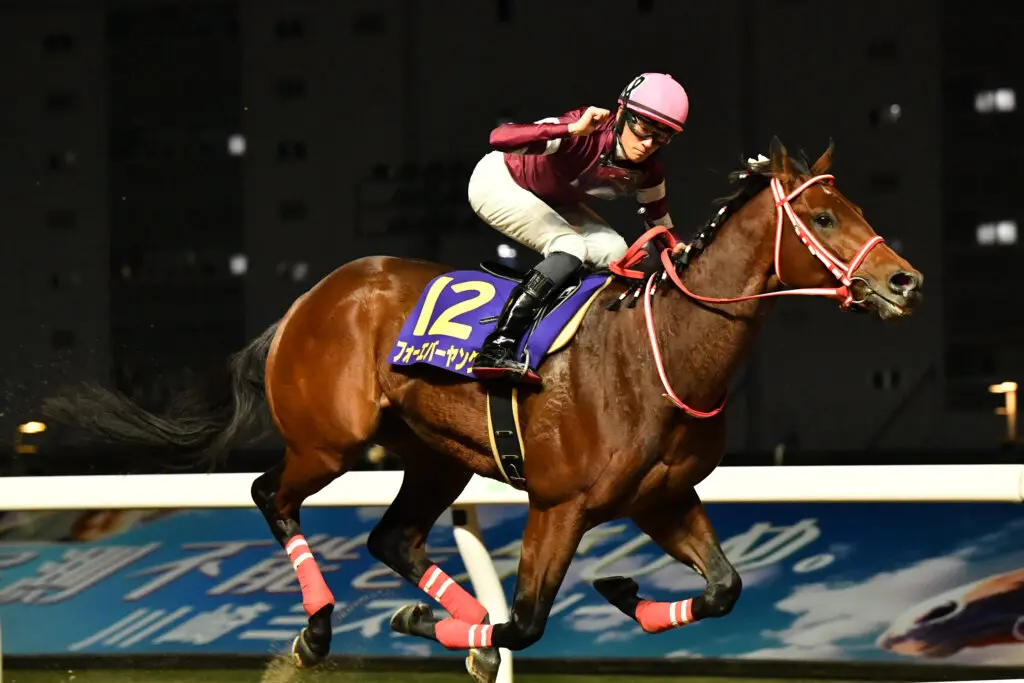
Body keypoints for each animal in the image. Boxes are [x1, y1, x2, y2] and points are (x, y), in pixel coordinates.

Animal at [41, 137, 923, 682]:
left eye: (857, 208)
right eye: (823, 216)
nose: (904, 280)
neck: (659, 350)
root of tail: (305, 302)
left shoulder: (664, 497)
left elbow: (725, 587)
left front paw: (617, 592)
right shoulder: (558, 503)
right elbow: (527, 620)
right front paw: (430, 629)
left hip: (433, 455)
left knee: (392, 536)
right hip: (330, 443)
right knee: (271, 495)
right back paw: (318, 629)